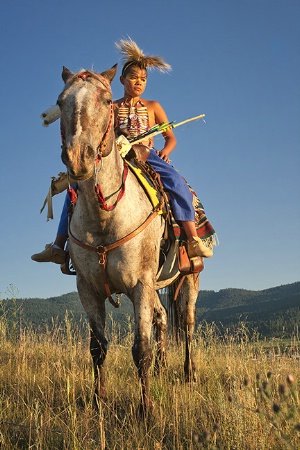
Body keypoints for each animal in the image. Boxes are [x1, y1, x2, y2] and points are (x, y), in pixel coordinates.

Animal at [58, 63, 199, 414]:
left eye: (108, 100)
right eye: (60, 101)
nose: (78, 157)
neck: (104, 217)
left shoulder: (139, 285)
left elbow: (141, 350)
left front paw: (146, 411)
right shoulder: (89, 289)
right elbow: (98, 348)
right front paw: (98, 403)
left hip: (190, 277)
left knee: (188, 324)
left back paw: (189, 373)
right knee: (162, 319)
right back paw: (163, 369)